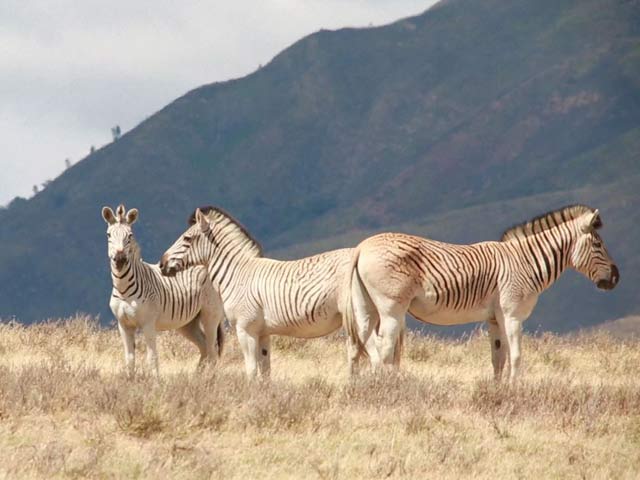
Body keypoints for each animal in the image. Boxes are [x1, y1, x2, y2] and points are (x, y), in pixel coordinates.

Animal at [102, 204, 225, 378]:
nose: (120, 259)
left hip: (211, 315)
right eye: (109, 235)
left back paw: (209, 379)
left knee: (212, 351)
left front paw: (155, 382)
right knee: (204, 347)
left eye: (130, 236)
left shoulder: (148, 324)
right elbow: (129, 358)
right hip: (187, 323)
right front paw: (130, 381)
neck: (124, 289)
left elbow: (152, 358)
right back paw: (196, 378)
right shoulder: (123, 325)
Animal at [159, 206, 384, 378]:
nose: (161, 264)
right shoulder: (263, 333)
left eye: (187, 239)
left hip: (358, 317)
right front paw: (264, 398)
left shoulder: (245, 329)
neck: (239, 274)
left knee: (375, 356)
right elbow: (265, 371)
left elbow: (250, 369)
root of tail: (360, 255)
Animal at [343, 205, 619, 382]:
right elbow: (516, 355)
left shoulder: (495, 318)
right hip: (391, 308)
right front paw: (516, 389)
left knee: (360, 343)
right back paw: (389, 388)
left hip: (366, 306)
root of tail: (362, 247)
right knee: (385, 349)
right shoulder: (512, 314)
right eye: (598, 244)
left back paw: (361, 388)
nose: (616, 278)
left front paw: (498, 392)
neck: (526, 263)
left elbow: (498, 358)